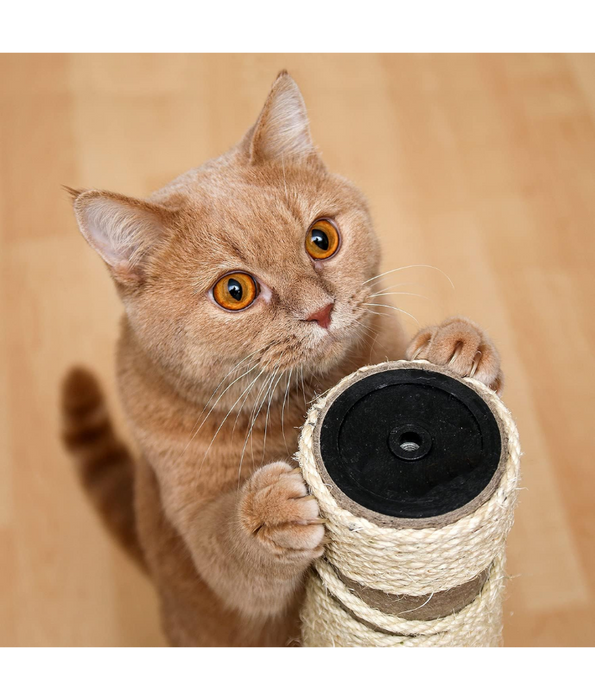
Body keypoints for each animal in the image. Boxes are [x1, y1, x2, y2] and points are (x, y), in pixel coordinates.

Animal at [61, 71, 502, 644]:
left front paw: (459, 342)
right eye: (234, 291)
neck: (302, 401)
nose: (321, 311)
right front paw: (267, 512)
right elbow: (229, 550)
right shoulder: (197, 524)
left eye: (321, 239)